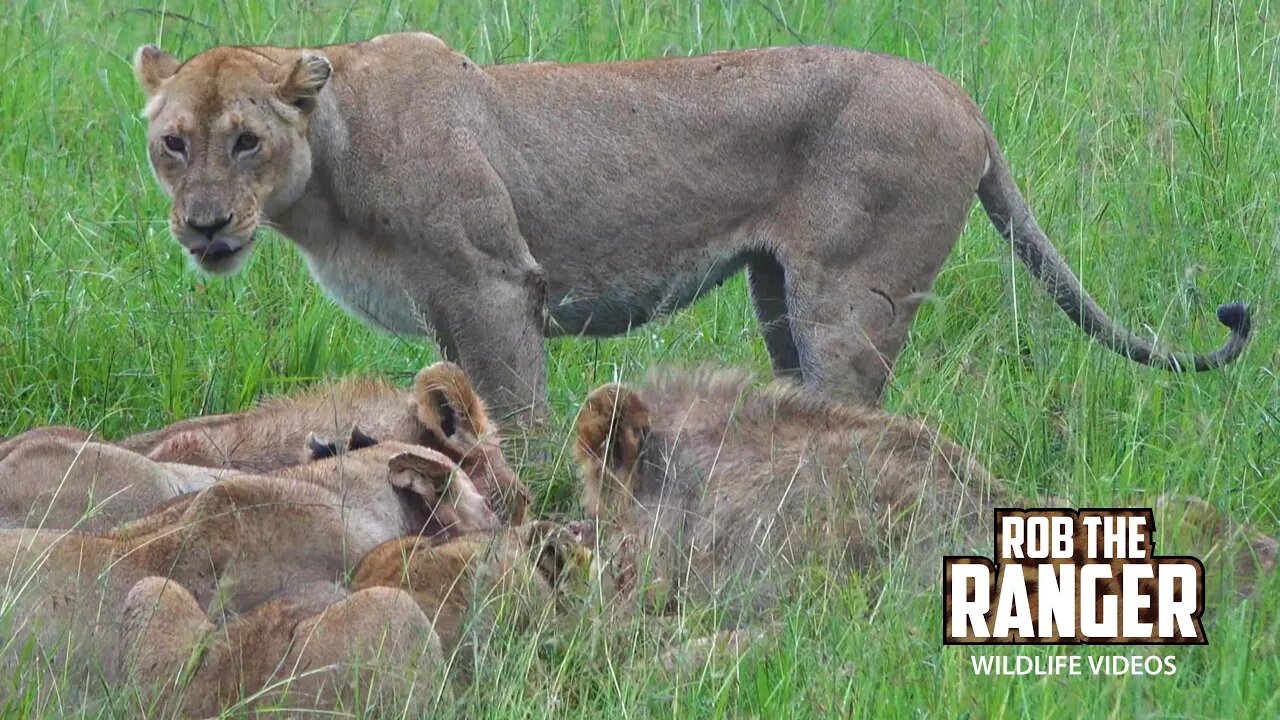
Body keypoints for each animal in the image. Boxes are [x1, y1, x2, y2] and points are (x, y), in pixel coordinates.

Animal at [135, 35, 1244, 425]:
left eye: (245, 142)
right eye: (172, 145)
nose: (202, 227)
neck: (328, 166)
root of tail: (959, 95)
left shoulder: (492, 286)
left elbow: (522, 424)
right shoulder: (449, 310)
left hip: (852, 294)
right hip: (774, 294)